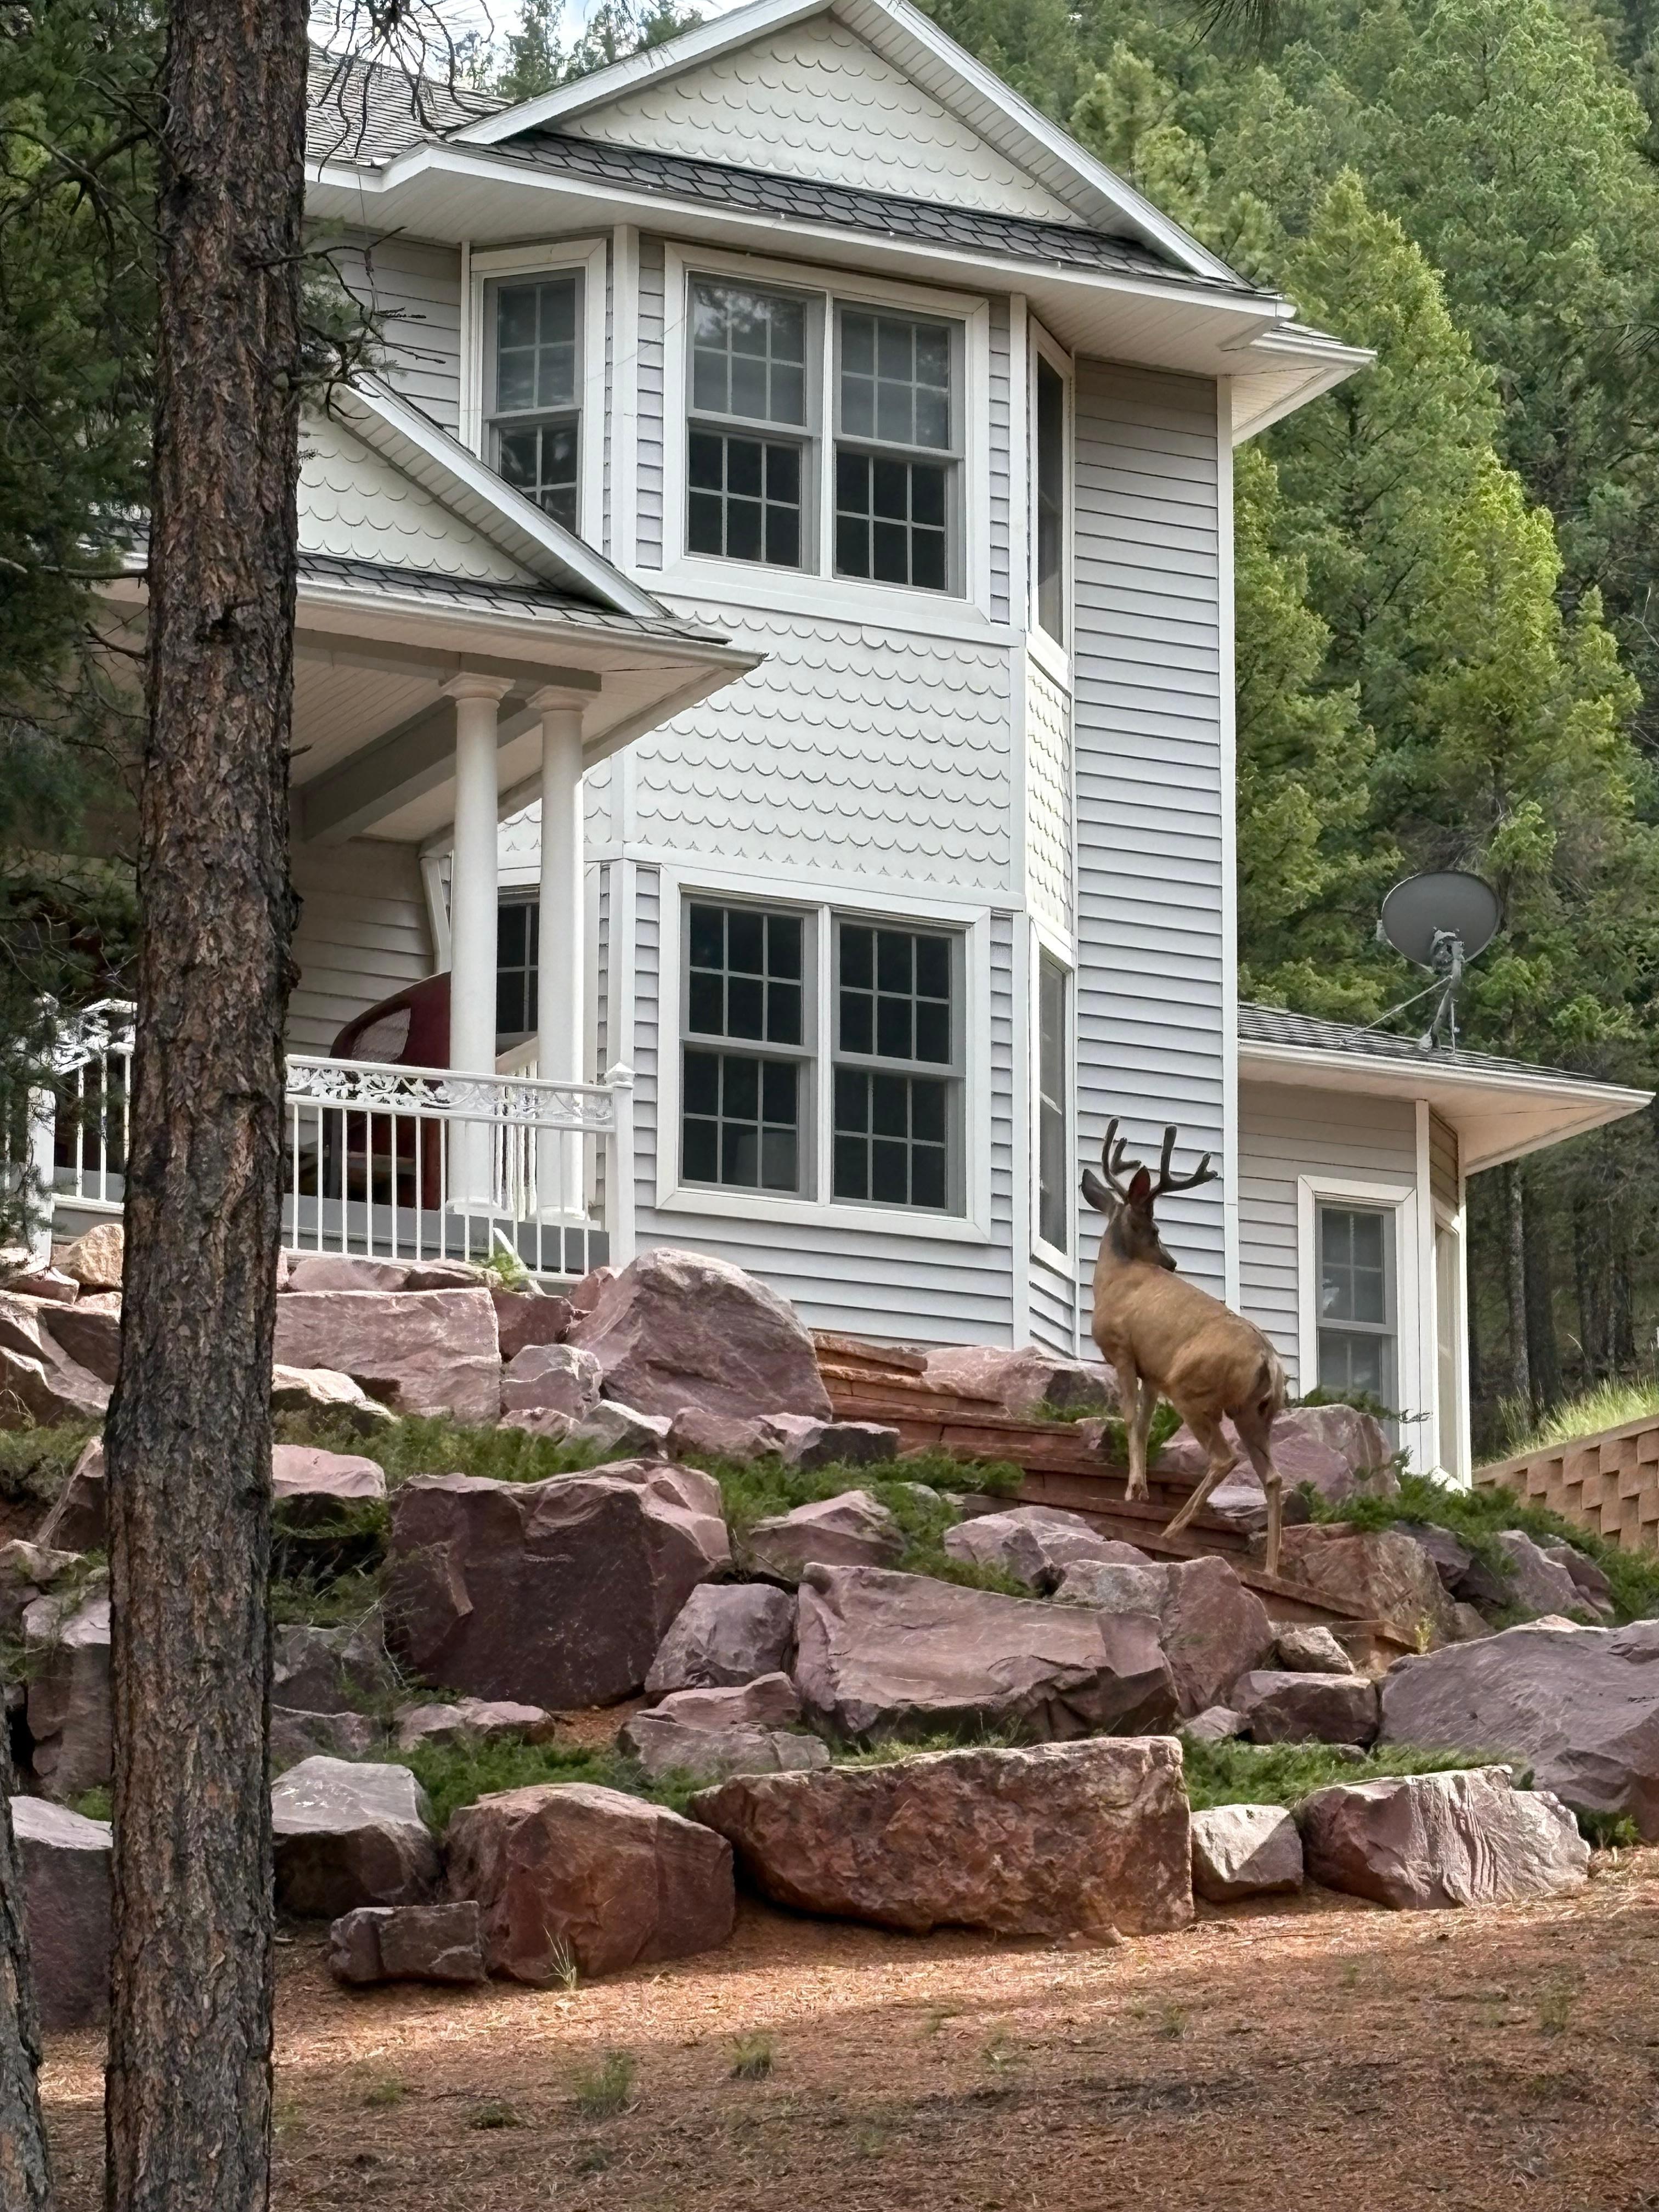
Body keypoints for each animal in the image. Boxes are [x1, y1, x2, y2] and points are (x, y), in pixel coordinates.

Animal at [1083, 1119, 1289, 1579]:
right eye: (1157, 1231)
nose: (1173, 1263)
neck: (1115, 1277)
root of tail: (1268, 1360)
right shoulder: (1152, 1371)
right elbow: (1143, 1423)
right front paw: (1140, 1490)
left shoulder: (1124, 1351)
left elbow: (1128, 1417)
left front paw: (1133, 1490)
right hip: (1254, 1413)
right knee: (1273, 1477)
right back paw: (1270, 1570)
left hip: (1196, 1392)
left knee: (1224, 1459)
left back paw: (1173, 1530)